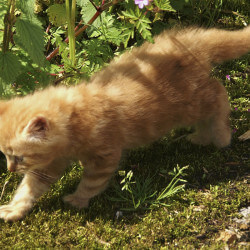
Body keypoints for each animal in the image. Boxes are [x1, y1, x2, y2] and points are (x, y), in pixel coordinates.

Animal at [0, 26, 250, 221]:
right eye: (5, 155)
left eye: (19, 157)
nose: (10, 170)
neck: (74, 119)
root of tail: (190, 41)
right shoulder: (51, 161)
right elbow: (29, 187)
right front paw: (14, 209)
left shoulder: (105, 155)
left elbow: (92, 182)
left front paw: (78, 199)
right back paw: (201, 137)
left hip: (188, 104)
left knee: (219, 93)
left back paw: (220, 136)